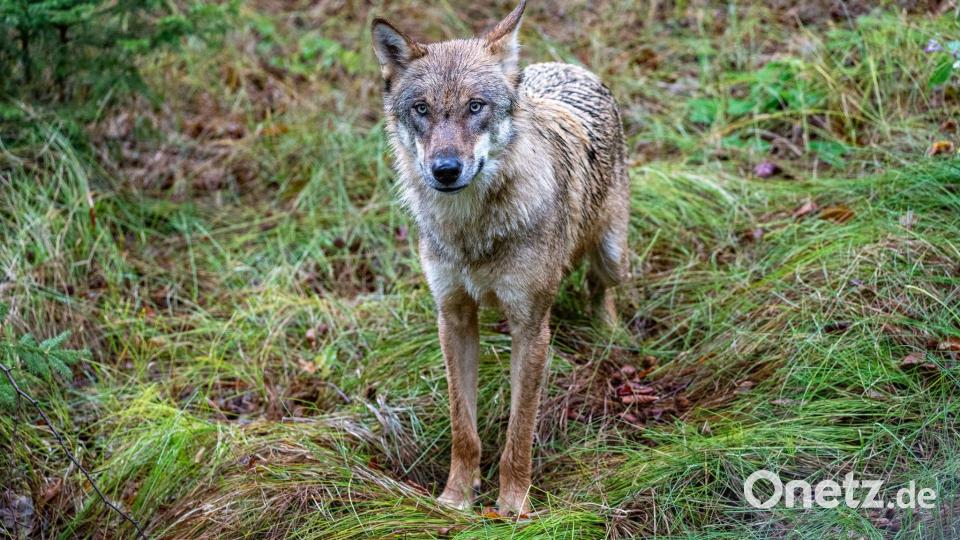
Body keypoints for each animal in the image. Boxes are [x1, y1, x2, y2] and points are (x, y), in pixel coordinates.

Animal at [371, 0, 629, 515]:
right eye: (422, 109)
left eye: (476, 106)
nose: (445, 169)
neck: (472, 231)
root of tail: (568, 67)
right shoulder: (452, 317)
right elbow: (463, 427)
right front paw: (455, 498)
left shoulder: (531, 328)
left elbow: (519, 431)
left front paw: (513, 508)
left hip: (611, 254)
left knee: (600, 286)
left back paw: (609, 334)